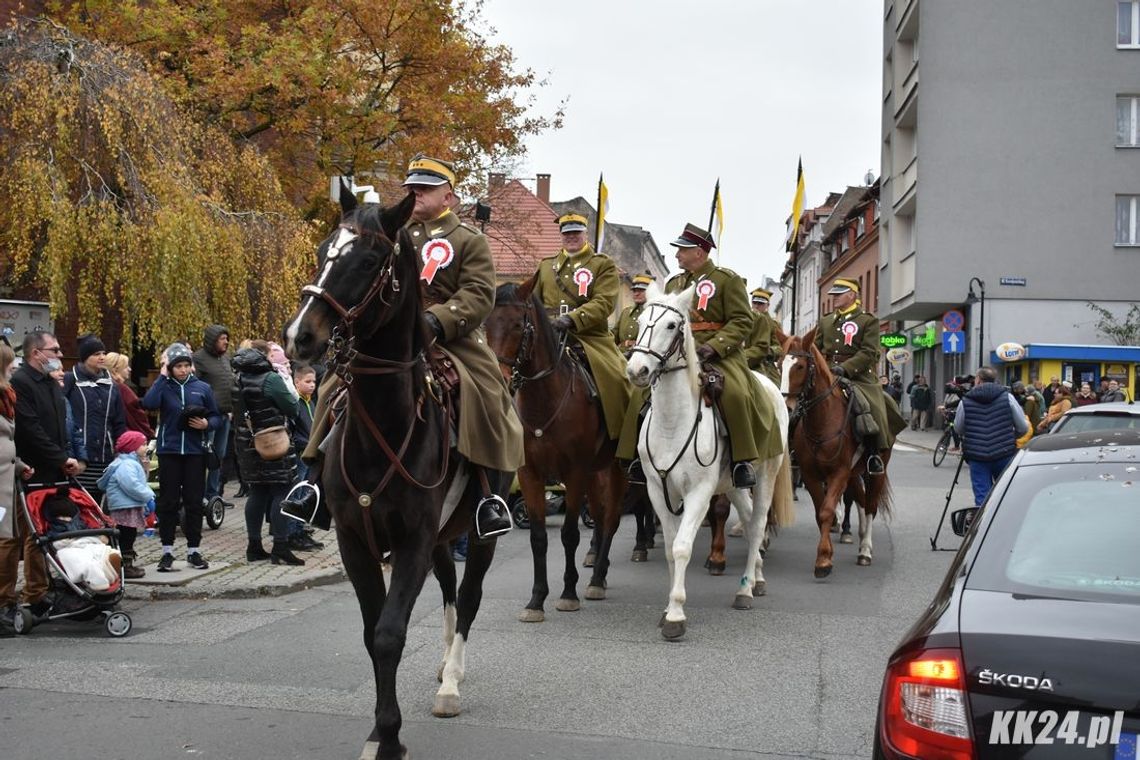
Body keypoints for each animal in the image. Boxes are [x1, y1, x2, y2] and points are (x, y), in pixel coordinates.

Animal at [282, 189, 501, 760]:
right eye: (322, 251)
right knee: (449, 589)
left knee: (469, 598)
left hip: (478, 533)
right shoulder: (356, 542)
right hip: (444, 539)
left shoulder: (411, 542)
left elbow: (389, 634)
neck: (385, 422)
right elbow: (369, 632)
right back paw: (444, 667)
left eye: (367, 261)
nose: (299, 337)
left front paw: (390, 736)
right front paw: (381, 733)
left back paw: (452, 682)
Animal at [481, 276, 624, 619]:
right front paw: (536, 599)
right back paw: (599, 572)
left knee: (611, 519)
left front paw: (568, 592)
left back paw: (596, 580)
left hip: (616, 468)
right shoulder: (530, 474)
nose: (499, 379)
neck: (546, 399)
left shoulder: (574, 473)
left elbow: (569, 534)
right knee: (600, 516)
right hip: (596, 472)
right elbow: (538, 537)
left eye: (518, 324)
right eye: (485, 323)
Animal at [624, 282, 793, 638]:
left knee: (758, 523)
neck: (672, 422)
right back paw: (756, 578)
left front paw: (676, 615)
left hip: (767, 474)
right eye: (641, 320)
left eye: (671, 325)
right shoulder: (658, 491)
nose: (637, 371)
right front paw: (667, 608)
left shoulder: (698, 493)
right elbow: (671, 548)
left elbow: (682, 546)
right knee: (747, 518)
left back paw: (745, 590)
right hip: (733, 483)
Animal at [775, 328, 889, 576]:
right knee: (861, 500)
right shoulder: (811, 475)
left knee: (871, 506)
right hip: (854, 473)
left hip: (876, 470)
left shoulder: (838, 473)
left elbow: (827, 510)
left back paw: (865, 550)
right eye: (779, 364)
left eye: (800, 366)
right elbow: (820, 511)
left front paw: (824, 560)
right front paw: (825, 553)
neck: (823, 421)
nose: (786, 408)